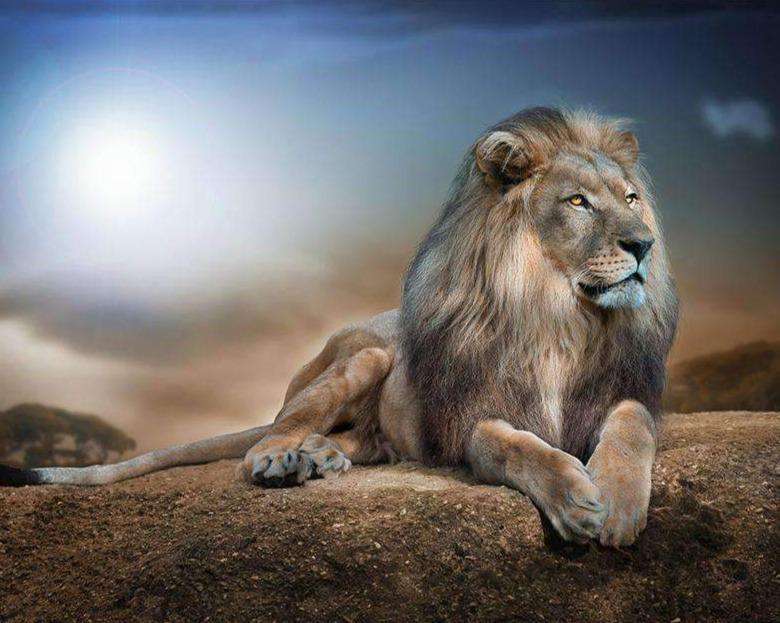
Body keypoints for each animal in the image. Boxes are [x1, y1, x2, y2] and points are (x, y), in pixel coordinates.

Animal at [0, 107, 678, 547]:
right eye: (577, 202)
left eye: (630, 198)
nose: (643, 245)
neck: (559, 316)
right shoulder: (466, 419)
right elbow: (512, 445)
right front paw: (574, 497)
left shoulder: (622, 392)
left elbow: (632, 423)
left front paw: (617, 500)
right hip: (363, 359)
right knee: (268, 435)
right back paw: (284, 459)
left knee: (357, 441)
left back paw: (321, 457)